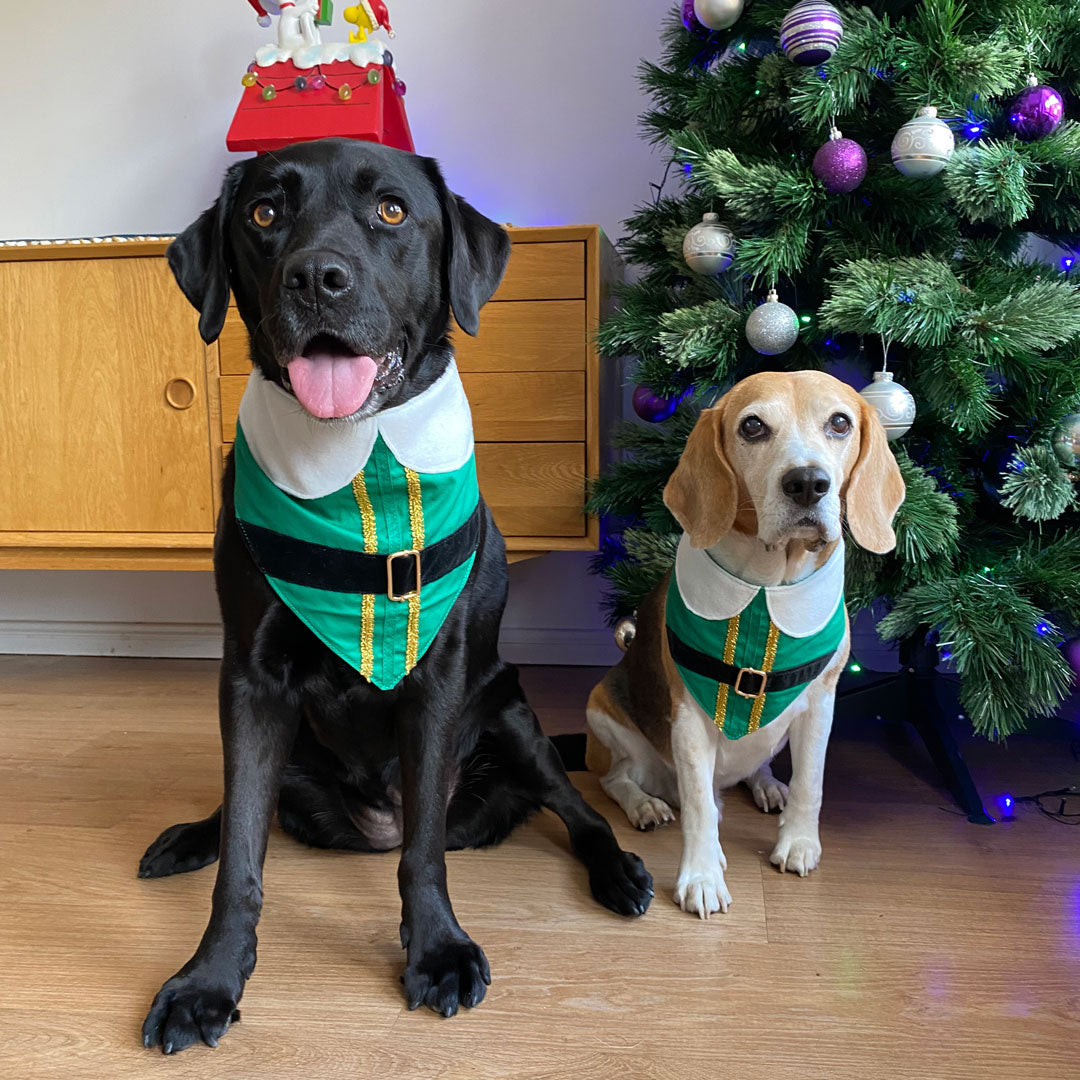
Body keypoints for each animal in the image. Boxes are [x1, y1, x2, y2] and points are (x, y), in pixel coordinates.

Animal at [139, 141, 652, 1054]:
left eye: (391, 211)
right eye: (264, 213)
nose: (318, 278)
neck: (357, 462)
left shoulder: (439, 678)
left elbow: (425, 849)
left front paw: (438, 951)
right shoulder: (251, 681)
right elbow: (243, 852)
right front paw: (209, 980)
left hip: (511, 714)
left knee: (575, 808)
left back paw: (617, 870)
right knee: (245, 808)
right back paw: (190, 835)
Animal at [587, 373, 907, 920]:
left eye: (840, 422)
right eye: (752, 426)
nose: (807, 483)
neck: (767, 586)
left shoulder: (821, 705)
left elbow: (811, 783)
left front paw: (798, 843)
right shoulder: (689, 719)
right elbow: (697, 804)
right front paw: (701, 876)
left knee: (755, 769)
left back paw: (766, 784)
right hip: (605, 711)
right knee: (624, 779)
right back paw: (647, 804)